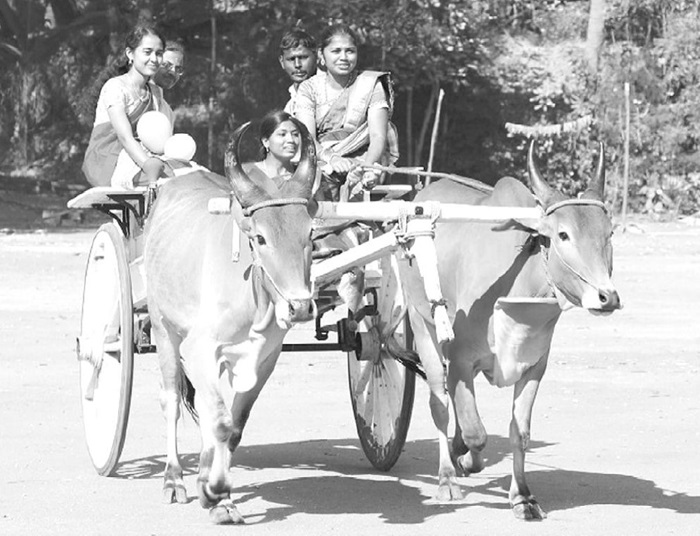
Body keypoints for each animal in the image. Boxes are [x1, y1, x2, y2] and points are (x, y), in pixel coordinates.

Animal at [145, 120, 318, 524]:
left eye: (310, 234)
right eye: (260, 237)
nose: (300, 307)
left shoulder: (264, 358)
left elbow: (234, 424)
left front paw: (212, 486)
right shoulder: (198, 349)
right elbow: (221, 422)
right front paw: (218, 495)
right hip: (164, 329)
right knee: (171, 399)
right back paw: (173, 479)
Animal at [402, 141, 620, 520]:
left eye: (608, 234)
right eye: (563, 234)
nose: (607, 297)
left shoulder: (533, 367)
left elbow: (520, 432)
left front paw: (523, 497)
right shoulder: (460, 359)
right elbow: (475, 433)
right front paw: (463, 460)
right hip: (421, 323)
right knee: (438, 401)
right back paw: (447, 477)